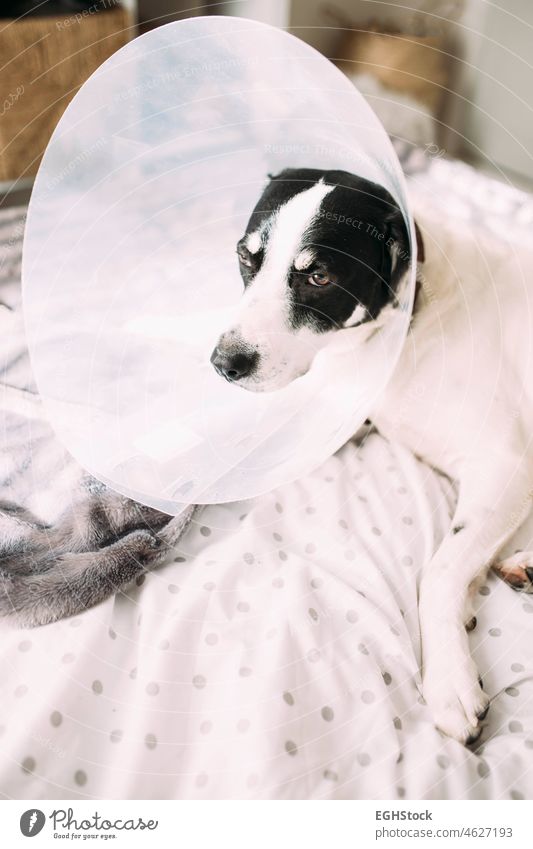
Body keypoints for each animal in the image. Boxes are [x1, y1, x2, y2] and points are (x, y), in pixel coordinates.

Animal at [209, 167, 532, 744]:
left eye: (318, 278)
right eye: (247, 259)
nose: (224, 364)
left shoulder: (506, 464)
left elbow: (440, 571)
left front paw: (449, 677)